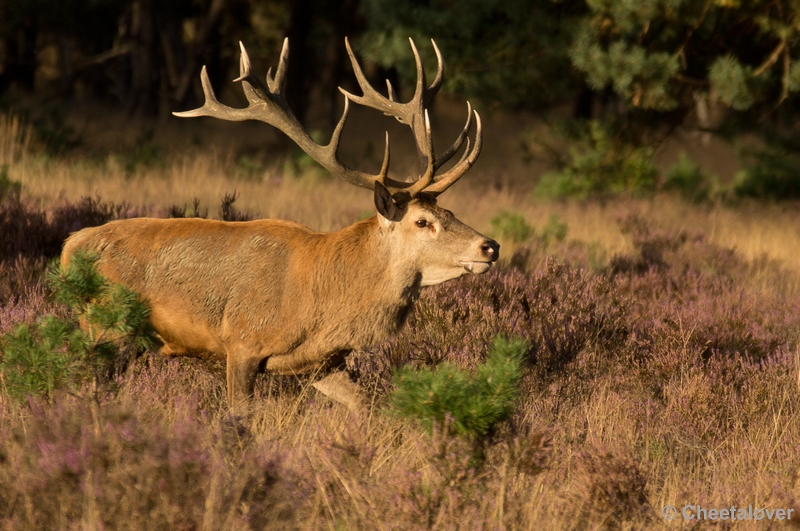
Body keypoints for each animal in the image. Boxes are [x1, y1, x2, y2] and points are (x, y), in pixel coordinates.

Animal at [62, 37, 496, 414]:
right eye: (422, 221)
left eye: (450, 212)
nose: (490, 246)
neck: (320, 303)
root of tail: (69, 248)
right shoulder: (241, 341)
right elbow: (239, 418)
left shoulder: (321, 361)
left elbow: (367, 404)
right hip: (104, 326)